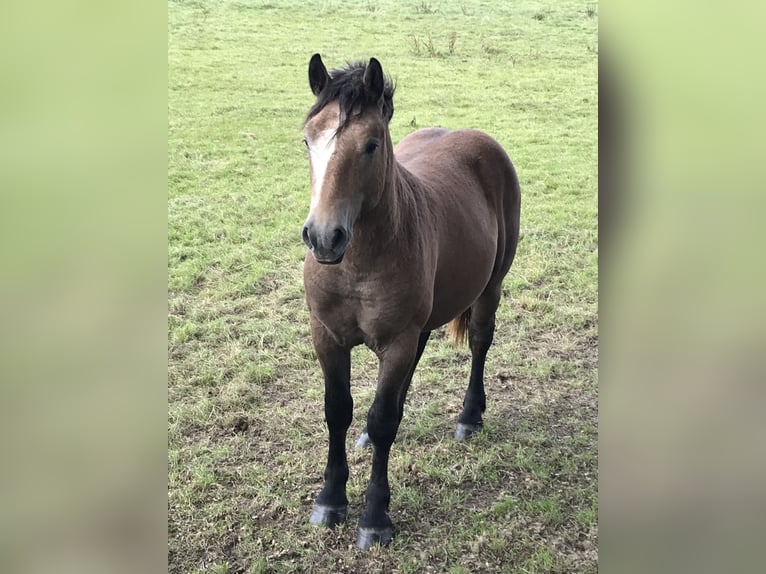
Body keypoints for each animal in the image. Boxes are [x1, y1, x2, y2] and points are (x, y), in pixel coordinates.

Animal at [300, 55, 520, 552]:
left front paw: (374, 519)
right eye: (307, 140)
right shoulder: (327, 336)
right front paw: (329, 500)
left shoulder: (396, 341)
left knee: (480, 341)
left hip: (490, 287)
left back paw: (470, 417)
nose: (323, 237)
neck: (358, 262)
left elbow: (385, 419)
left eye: (371, 144)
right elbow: (337, 410)